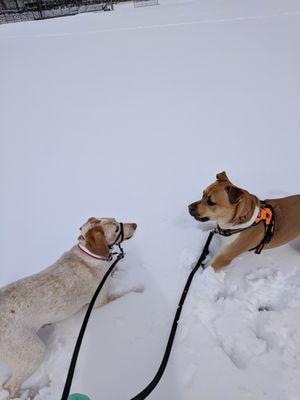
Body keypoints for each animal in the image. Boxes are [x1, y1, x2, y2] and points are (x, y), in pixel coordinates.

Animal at [0, 217, 137, 398]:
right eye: (115, 229)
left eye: (116, 220)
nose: (135, 225)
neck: (88, 254)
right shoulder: (100, 301)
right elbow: (122, 295)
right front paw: (137, 291)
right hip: (32, 352)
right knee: (10, 386)